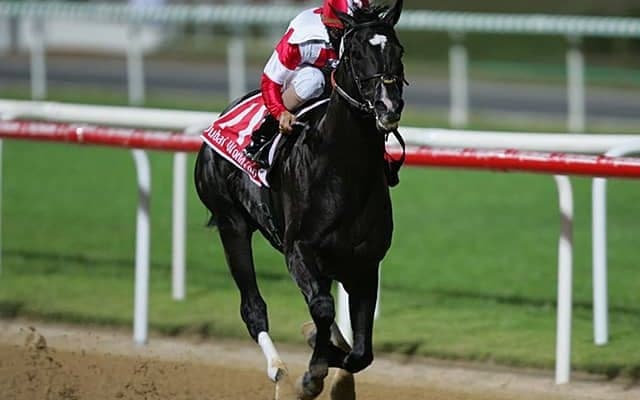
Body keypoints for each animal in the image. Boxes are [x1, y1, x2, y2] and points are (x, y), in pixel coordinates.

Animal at [194, 3, 405, 399]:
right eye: (355, 54)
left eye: (398, 51)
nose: (389, 106)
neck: (342, 170)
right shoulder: (299, 249)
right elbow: (322, 309)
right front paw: (311, 374)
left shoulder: (365, 263)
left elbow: (361, 352)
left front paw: (329, 361)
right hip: (231, 223)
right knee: (253, 308)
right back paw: (278, 368)